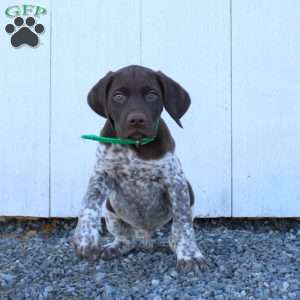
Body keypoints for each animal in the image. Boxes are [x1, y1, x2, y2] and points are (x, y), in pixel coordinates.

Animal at [74, 65, 207, 272]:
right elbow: (88, 204)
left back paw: (175, 244)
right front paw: (86, 238)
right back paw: (114, 247)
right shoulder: (102, 173)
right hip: (111, 208)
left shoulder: (175, 182)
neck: (135, 145)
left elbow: (183, 222)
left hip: (188, 191)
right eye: (118, 96)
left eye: (152, 95)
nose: (136, 120)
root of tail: (145, 233)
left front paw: (189, 255)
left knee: (174, 231)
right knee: (127, 239)